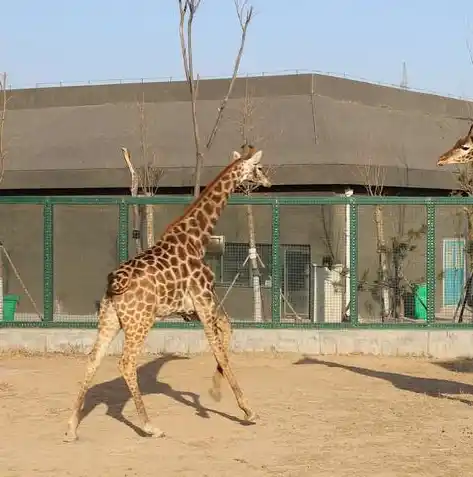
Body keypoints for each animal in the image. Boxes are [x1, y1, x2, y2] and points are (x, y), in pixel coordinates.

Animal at [65, 144, 272, 438]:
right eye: (259, 167)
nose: (268, 181)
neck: (198, 237)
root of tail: (114, 284)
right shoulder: (203, 301)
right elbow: (219, 349)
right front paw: (247, 411)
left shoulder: (195, 308)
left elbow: (228, 332)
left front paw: (214, 392)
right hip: (140, 321)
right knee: (126, 362)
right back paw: (149, 426)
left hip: (110, 319)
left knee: (94, 358)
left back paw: (72, 427)